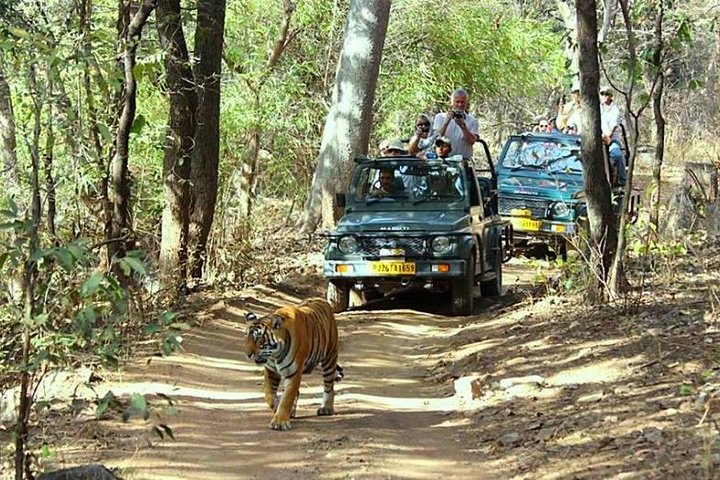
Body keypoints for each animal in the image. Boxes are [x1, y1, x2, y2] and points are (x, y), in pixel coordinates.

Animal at [243, 297, 344, 431]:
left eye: (260, 339)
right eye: (246, 337)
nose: (248, 354)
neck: (275, 355)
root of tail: (321, 300)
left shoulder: (294, 372)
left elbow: (287, 397)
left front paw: (280, 422)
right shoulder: (271, 371)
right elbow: (269, 395)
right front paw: (277, 409)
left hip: (330, 357)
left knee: (329, 385)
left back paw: (326, 408)